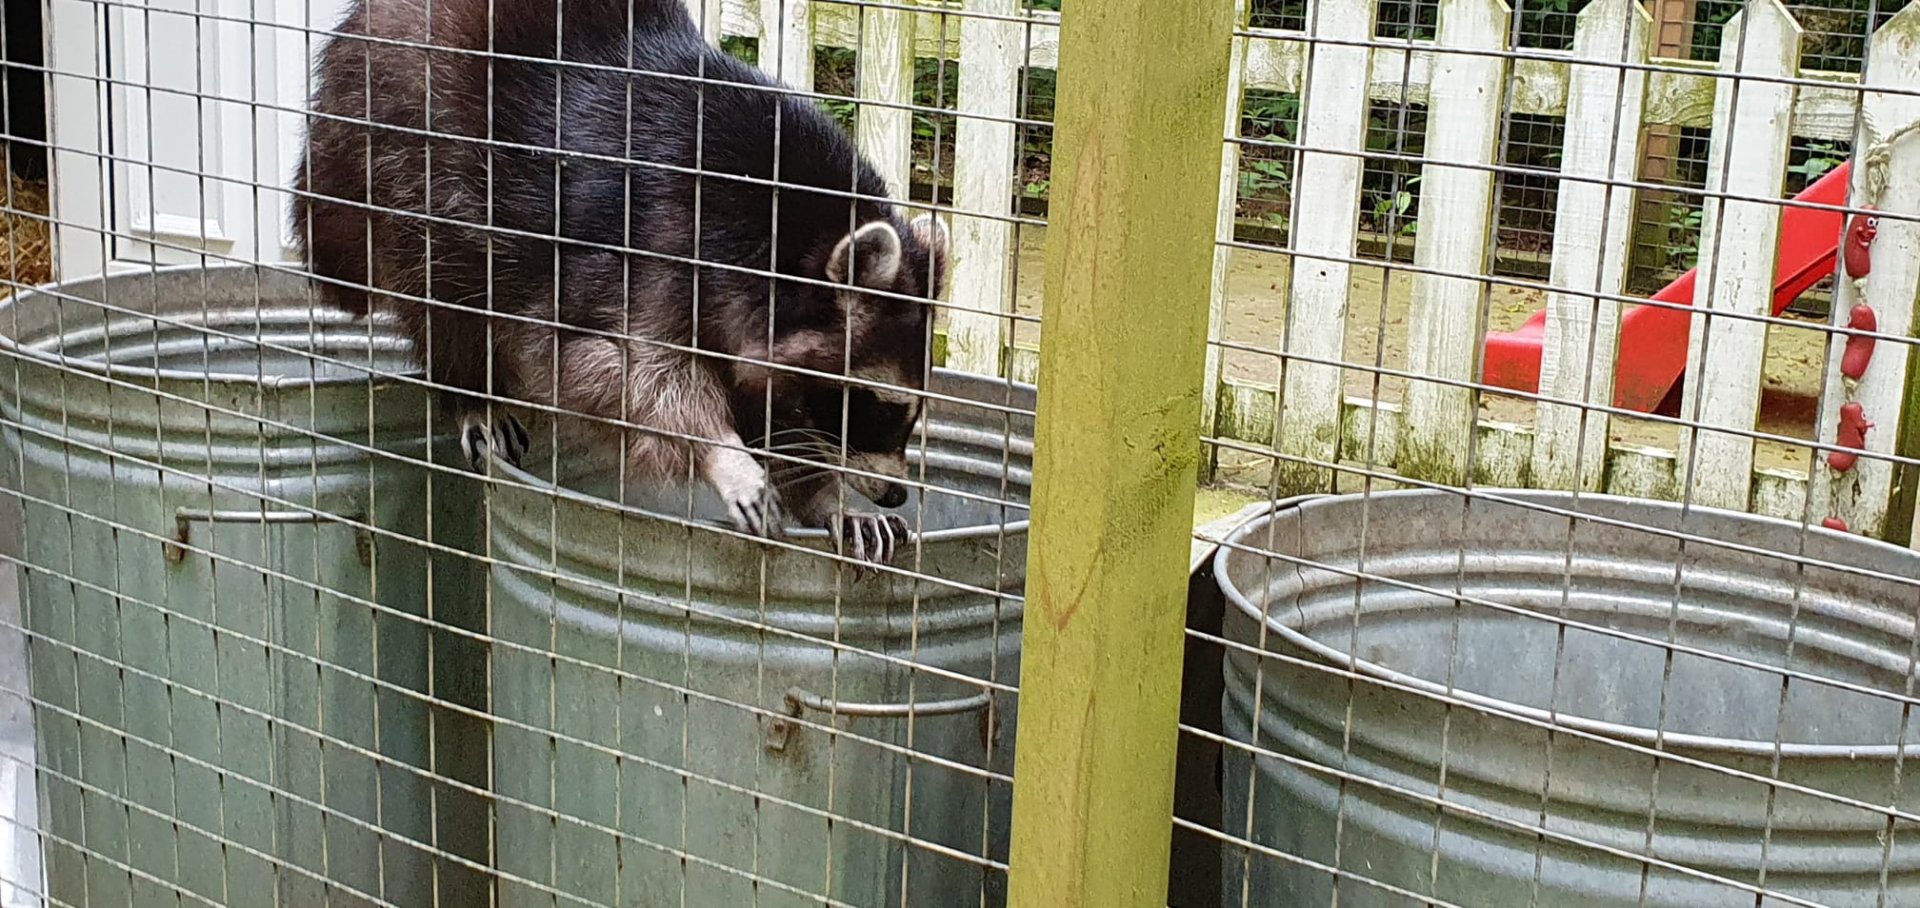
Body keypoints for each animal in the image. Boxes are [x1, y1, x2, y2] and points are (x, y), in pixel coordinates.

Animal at [292, 0, 946, 565]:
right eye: (878, 404)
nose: (895, 491)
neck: (783, 227)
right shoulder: (654, 247)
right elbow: (624, 369)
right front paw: (722, 450)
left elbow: (772, 407)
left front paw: (828, 497)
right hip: (406, 149)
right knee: (445, 290)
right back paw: (471, 390)